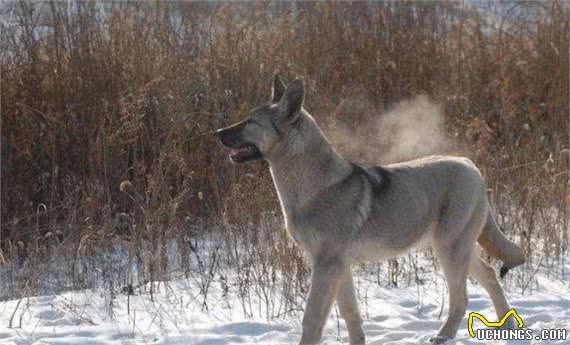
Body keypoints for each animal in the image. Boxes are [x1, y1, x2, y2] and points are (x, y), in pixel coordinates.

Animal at [214, 76, 524, 344]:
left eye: (252, 122)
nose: (217, 133)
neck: (314, 187)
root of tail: (471, 167)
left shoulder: (326, 265)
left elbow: (312, 319)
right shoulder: (338, 267)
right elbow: (350, 314)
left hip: (450, 250)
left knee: (461, 300)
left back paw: (443, 336)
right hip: (456, 249)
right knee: (490, 276)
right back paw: (507, 325)